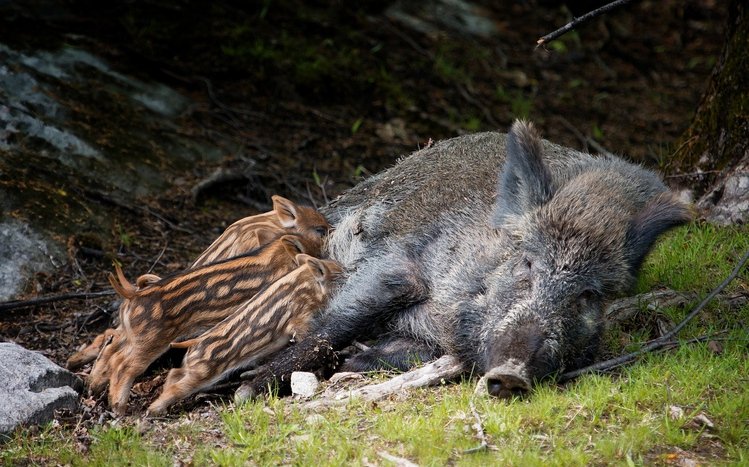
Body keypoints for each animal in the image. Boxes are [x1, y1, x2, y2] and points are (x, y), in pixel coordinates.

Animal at [147, 254, 342, 415]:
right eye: (339, 274)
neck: (309, 286)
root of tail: (193, 343)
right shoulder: (298, 320)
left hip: (193, 367)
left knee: (174, 373)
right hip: (203, 372)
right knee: (178, 387)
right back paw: (154, 411)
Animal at [236, 120, 692, 400]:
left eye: (589, 295)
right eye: (527, 263)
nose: (510, 373)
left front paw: (353, 360)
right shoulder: (399, 264)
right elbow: (331, 326)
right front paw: (246, 390)